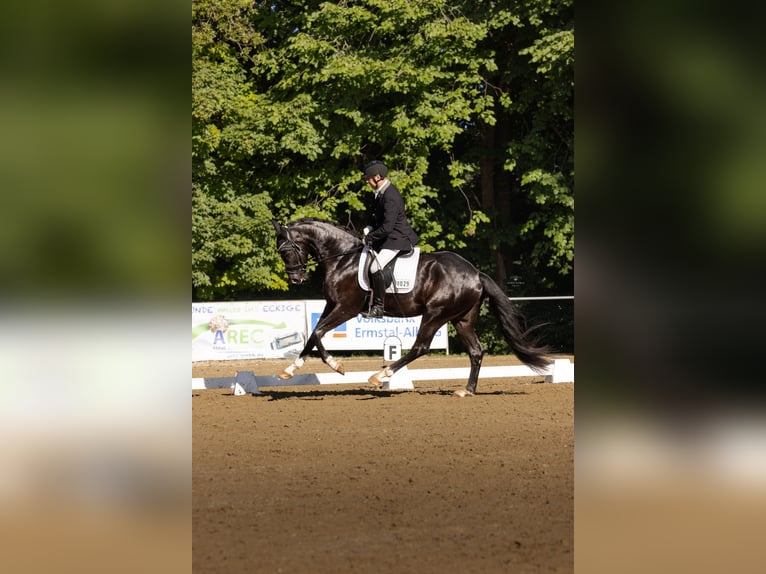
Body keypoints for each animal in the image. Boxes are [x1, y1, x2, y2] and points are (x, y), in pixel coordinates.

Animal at [272, 218, 550, 397]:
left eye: (287, 250)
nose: (297, 279)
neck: (343, 258)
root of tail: (476, 273)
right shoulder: (332, 304)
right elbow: (312, 334)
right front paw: (289, 370)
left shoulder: (347, 307)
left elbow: (319, 333)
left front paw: (336, 365)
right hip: (461, 319)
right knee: (476, 351)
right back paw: (467, 390)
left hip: (435, 314)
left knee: (420, 347)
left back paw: (381, 375)